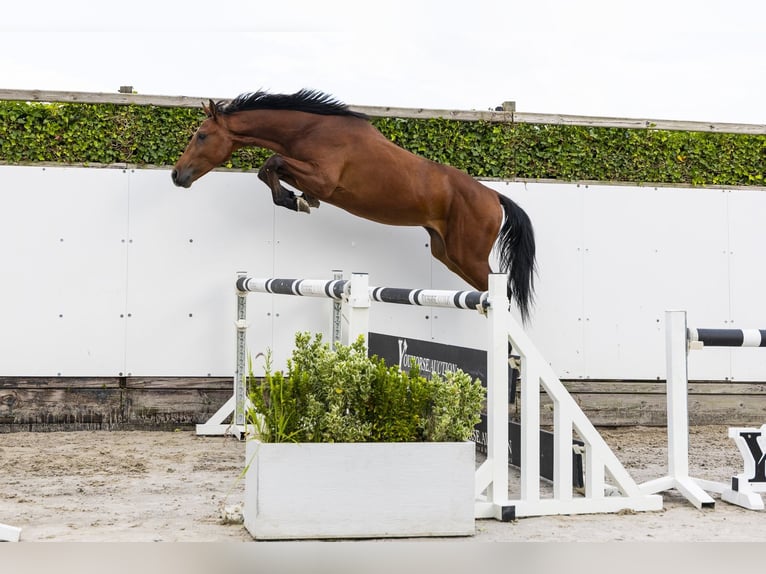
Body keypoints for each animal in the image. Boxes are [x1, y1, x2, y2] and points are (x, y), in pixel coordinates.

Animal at [172, 89, 536, 321]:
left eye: (201, 135)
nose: (177, 175)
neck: (310, 128)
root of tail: (493, 196)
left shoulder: (323, 178)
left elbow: (272, 163)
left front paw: (295, 201)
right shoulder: (311, 176)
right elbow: (271, 170)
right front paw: (300, 200)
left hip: (468, 255)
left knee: (500, 293)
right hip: (446, 253)